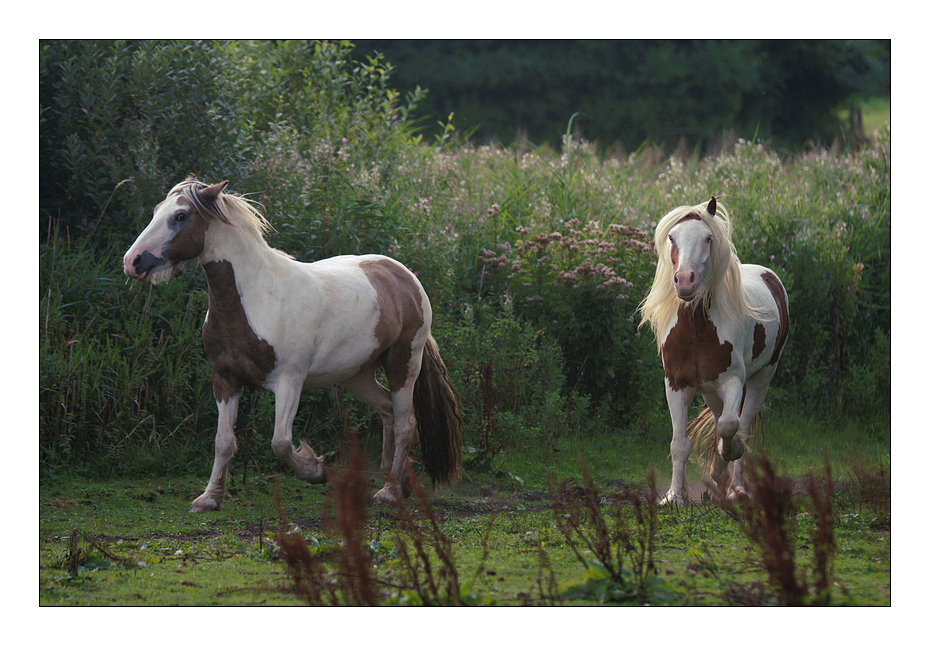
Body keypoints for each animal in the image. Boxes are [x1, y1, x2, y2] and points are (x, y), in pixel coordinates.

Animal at [121, 176, 462, 512]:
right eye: (157, 211)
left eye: (180, 216)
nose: (132, 262)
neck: (257, 299)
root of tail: (404, 276)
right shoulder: (225, 380)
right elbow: (223, 441)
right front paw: (210, 498)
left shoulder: (289, 381)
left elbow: (281, 443)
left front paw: (318, 470)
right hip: (357, 375)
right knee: (387, 410)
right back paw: (397, 481)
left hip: (403, 363)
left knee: (406, 422)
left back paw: (389, 493)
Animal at [640, 197, 784, 506]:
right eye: (672, 237)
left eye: (707, 238)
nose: (684, 280)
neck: (697, 327)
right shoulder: (675, 386)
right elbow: (679, 443)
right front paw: (674, 496)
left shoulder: (733, 381)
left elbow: (731, 426)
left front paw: (730, 454)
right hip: (709, 391)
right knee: (719, 420)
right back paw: (718, 475)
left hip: (761, 379)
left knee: (742, 424)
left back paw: (736, 488)